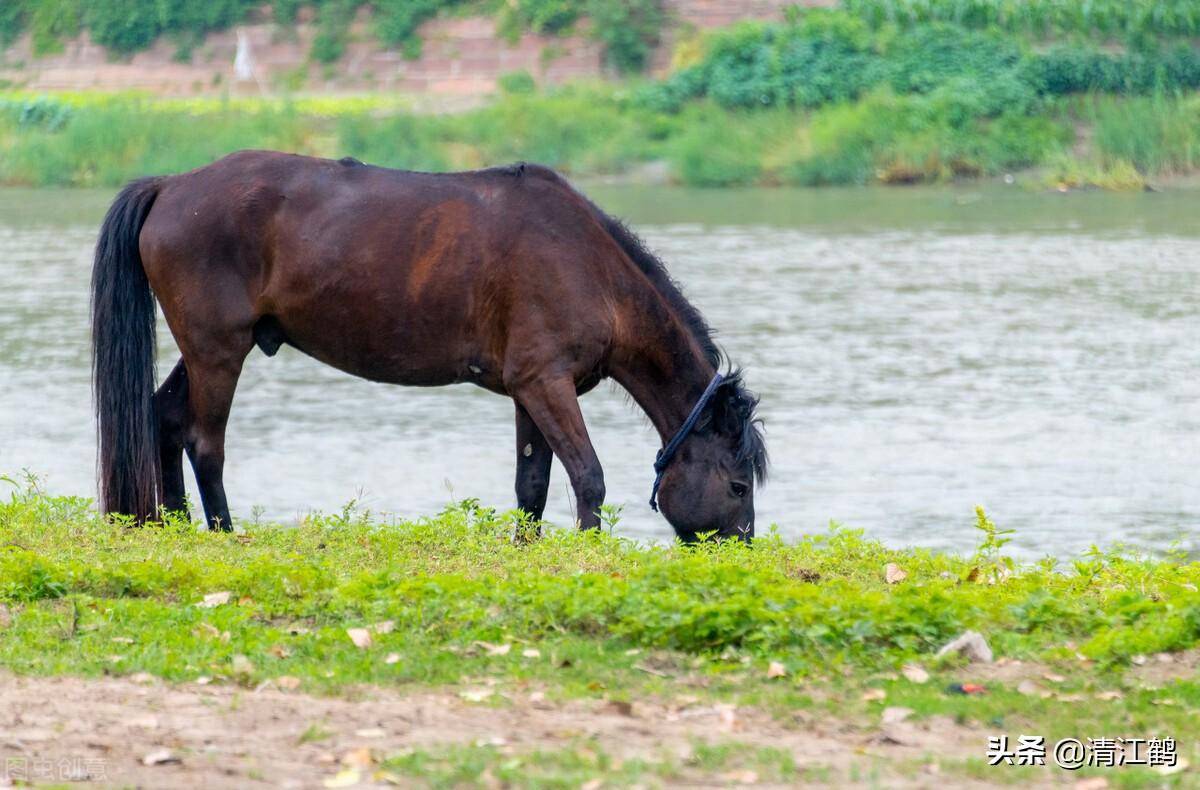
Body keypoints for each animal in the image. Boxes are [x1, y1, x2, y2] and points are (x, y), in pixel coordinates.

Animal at [93, 150, 768, 537]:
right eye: (738, 487)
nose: (740, 547)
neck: (588, 265)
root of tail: (172, 186)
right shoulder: (546, 383)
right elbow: (589, 477)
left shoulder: (532, 391)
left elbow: (532, 486)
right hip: (218, 351)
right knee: (204, 444)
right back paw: (224, 533)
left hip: (206, 351)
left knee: (165, 420)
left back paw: (174, 526)